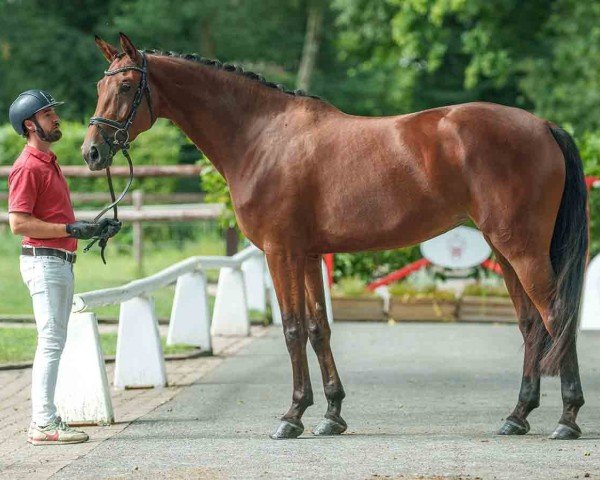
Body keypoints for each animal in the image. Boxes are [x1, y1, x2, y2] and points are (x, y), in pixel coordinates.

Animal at [82, 32, 588, 438]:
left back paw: (567, 419)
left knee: (556, 316)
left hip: (522, 249)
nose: (91, 152)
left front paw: (291, 417)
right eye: (100, 86)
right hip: (505, 250)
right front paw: (330, 414)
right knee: (530, 325)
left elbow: (291, 330)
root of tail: (544, 126)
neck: (262, 137)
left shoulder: (281, 253)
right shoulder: (308, 254)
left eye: (125, 87)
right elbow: (317, 329)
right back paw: (517, 416)